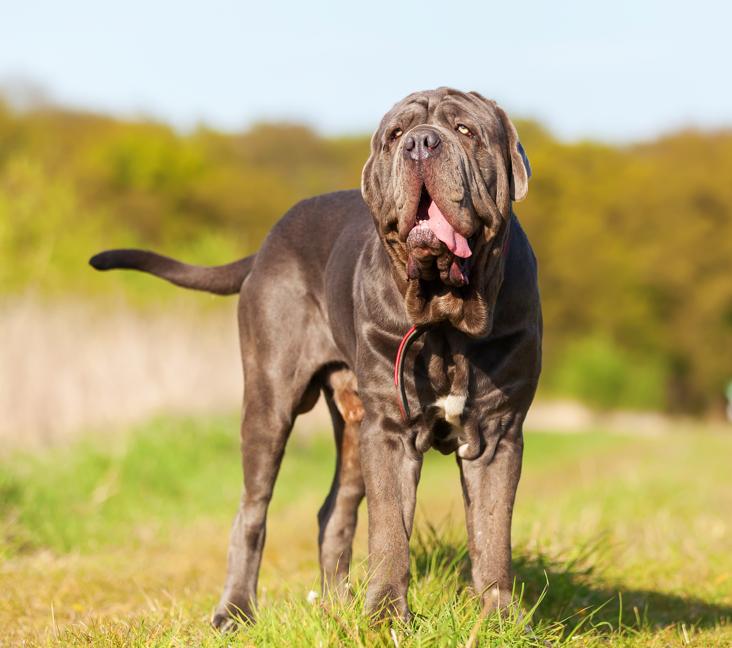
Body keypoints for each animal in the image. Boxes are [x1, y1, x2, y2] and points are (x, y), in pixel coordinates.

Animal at [88, 88, 540, 632]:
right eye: (395, 135)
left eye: (465, 130)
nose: (420, 143)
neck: (447, 317)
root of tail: (265, 246)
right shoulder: (389, 432)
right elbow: (390, 533)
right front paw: (385, 617)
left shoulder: (497, 433)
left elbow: (493, 535)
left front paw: (499, 621)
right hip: (271, 403)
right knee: (252, 509)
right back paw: (234, 611)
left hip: (353, 428)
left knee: (335, 511)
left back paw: (337, 606)